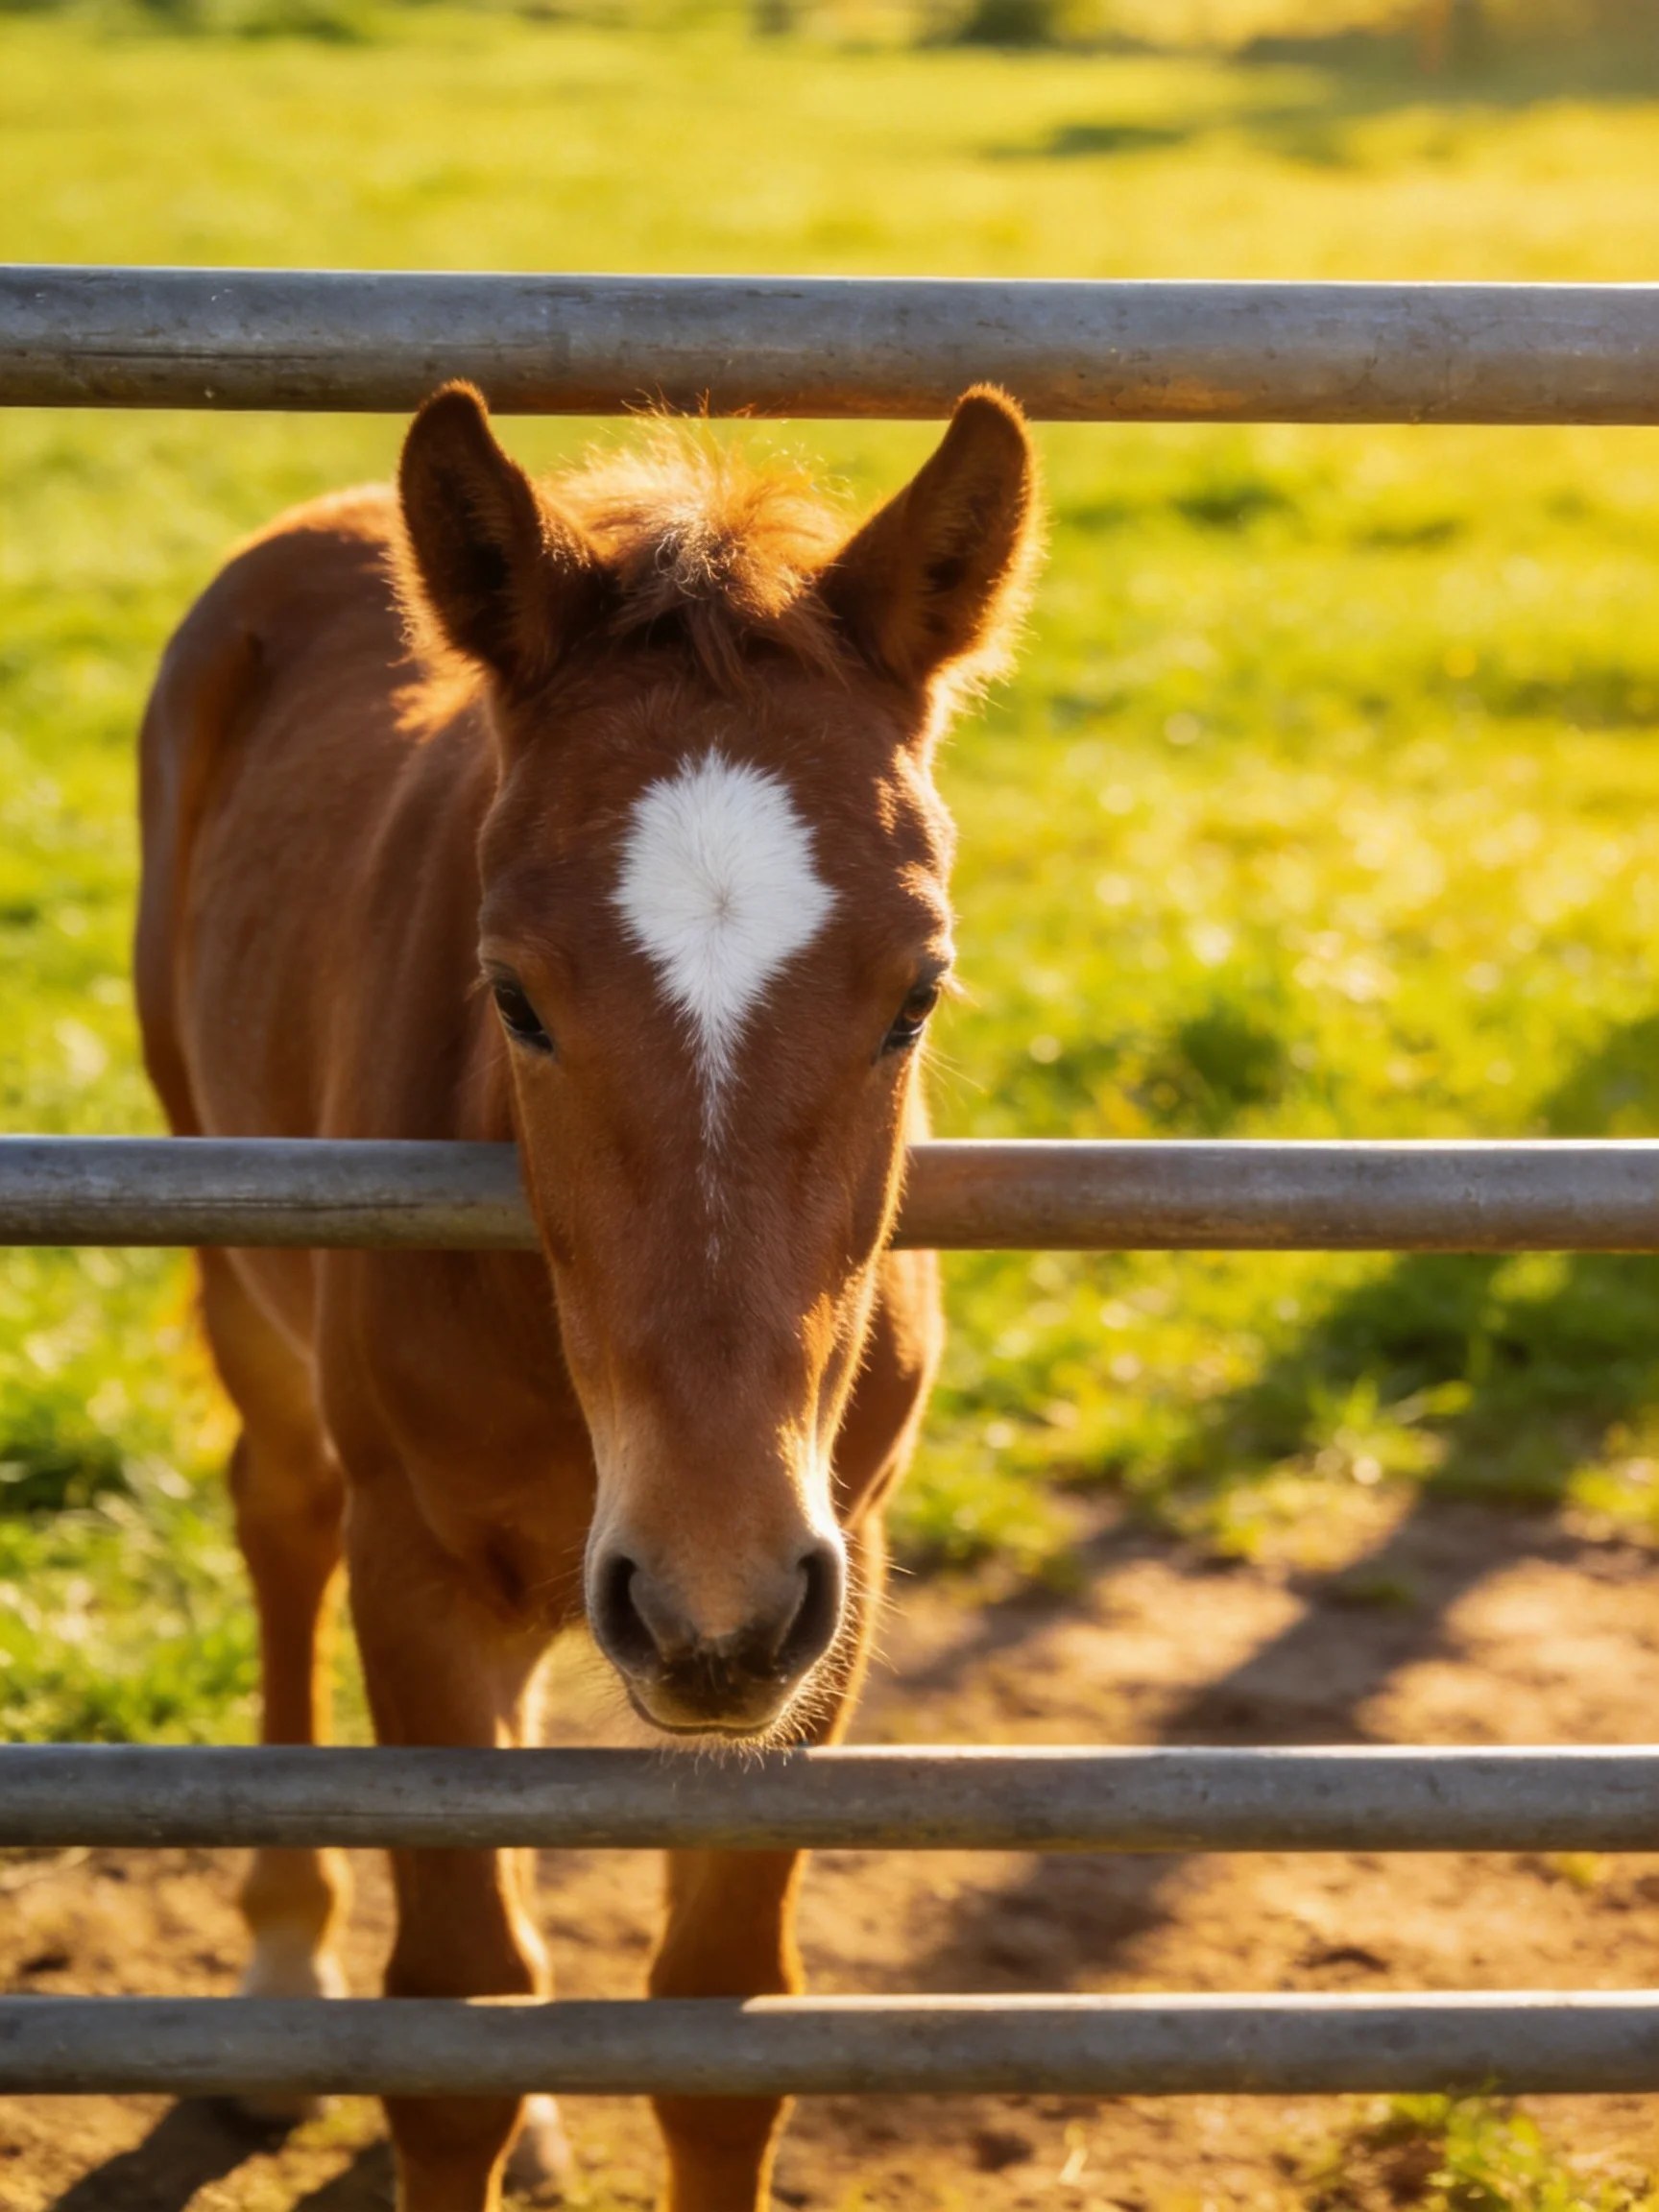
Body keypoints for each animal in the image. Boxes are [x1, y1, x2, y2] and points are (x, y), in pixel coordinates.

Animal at [135, 379, 1040, 2212]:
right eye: (514, 995)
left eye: (918, 992)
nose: (710, 1600)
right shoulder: (416, 1572)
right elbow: (455, 2026)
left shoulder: (828, 1585)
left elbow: (715, 2028)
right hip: (235, 1265)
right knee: (276, 1515)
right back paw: (278, 1966)